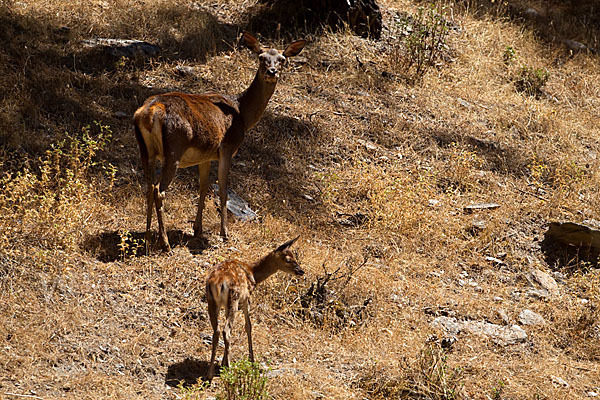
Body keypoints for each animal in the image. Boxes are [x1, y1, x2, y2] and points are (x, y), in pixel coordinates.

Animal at [134, 33, 308, 250]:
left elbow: (203, 188)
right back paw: (164, 242)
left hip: (145, 150)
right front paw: (225, 233)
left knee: (149, 187)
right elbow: (223, 190)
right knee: (159, 190)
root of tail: (149, 112)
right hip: (174, 149)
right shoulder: (227, 147)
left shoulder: (205, 156)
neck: (242, 114)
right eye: (261, 57)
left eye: (282, 59)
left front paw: (197, 229)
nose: (272, 71)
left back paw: (148, 237)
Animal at [206, 236, 302, 380]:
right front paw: (252, 360)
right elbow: (249, 326)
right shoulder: (247, 298)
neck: (253, 273)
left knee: (217, 330)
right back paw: (228, 367)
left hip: (211, 301)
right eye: (288, 259)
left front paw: (223, 362)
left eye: (294, 256)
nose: (301, 271)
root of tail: (218, 283)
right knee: (226, 330)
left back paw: (210, 373)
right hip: (234, 298)